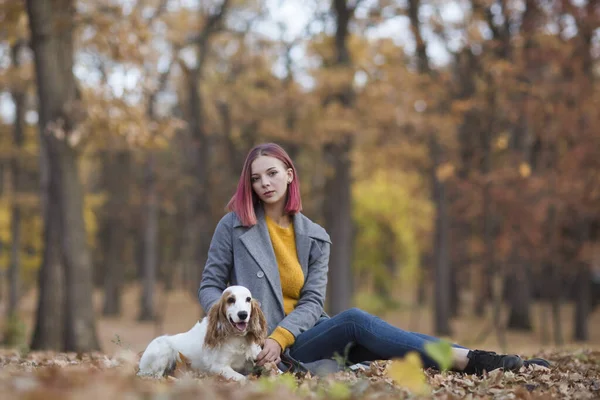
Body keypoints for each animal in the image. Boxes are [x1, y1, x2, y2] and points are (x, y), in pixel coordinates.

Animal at [137, 284, 268, 382]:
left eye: (248, 299)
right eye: (231, 300)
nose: (243, 314)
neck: (237, 338)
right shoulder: (219, 367)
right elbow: (242, 378)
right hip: (163, 351)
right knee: (154, 375)